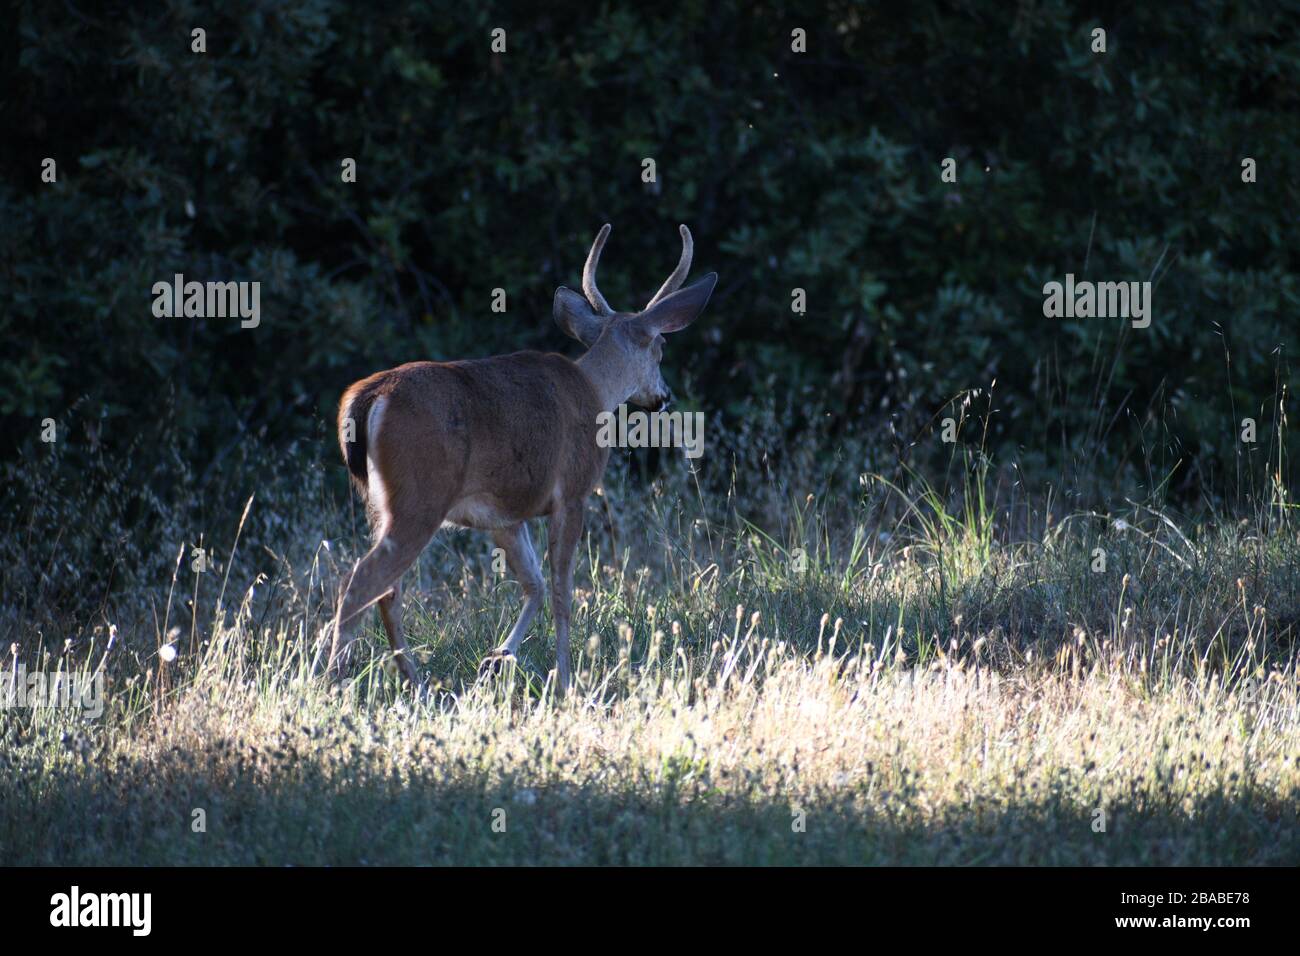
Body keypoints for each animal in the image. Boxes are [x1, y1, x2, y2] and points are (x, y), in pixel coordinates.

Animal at [321, 223, 717, 686]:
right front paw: (565, 678)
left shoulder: (506, 515)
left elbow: (535, 584)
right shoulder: (573, 493)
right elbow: (563, 590)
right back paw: (332, 679)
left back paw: (412, 681)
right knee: (360, 582)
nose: (664, 397)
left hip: (377, 504)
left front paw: (498, 656)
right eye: (660, 349)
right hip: (419, 497)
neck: (595, 390)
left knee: (386, 589)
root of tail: (366, 398)